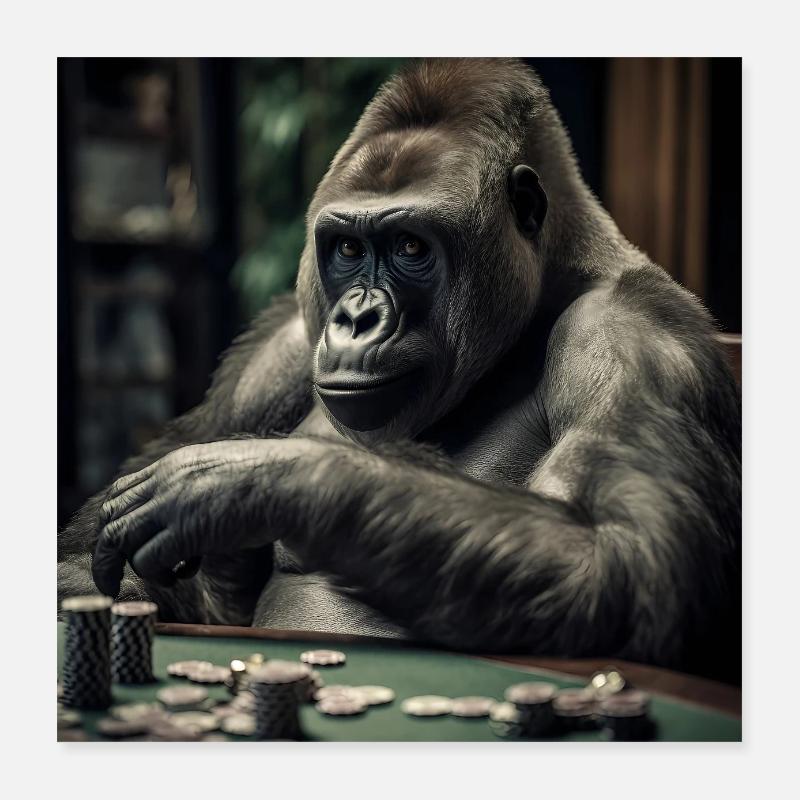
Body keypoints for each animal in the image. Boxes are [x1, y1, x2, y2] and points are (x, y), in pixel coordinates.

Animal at [58, 58, 741, 680]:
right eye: (348, 248)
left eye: (411, 246)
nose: (357, 318)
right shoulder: (280, 348)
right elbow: (89, 556)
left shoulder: (632, 331)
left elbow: (619, 559)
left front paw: (254, 480)